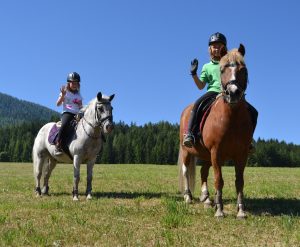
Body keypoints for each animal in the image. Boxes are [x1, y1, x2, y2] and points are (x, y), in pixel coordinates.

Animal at [179, 44, 252, 218]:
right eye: (222, 69)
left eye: (243, 69)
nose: (233, 93)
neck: (232, 117)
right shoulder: (216, 152)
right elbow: (219, 180)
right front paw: (219, 210)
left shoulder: (242, 154)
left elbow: (239, 181)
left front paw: (241, 210)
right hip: (186, 151)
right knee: (186, 171)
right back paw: (188, 196)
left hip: (206, 155)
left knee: (203, 172)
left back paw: (206, 198)